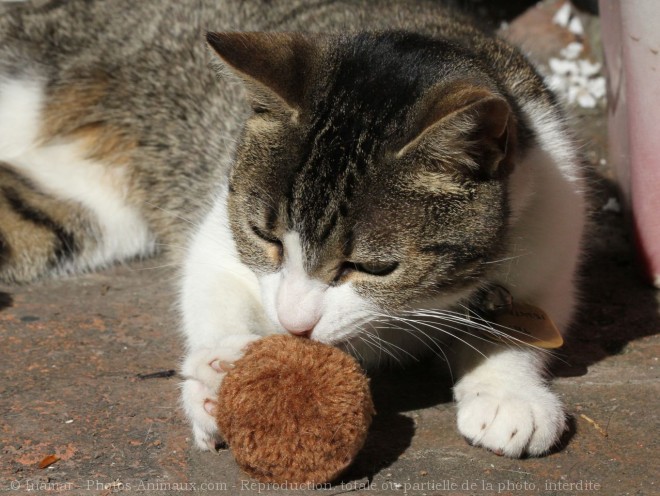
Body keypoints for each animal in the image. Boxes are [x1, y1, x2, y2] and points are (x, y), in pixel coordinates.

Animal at [1, 0, 588, 460]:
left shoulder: (554, 233)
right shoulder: (219, 236)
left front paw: (508, 392)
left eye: (373, 267)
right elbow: (212, 287)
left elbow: (525, 319)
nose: (296, 324)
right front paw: (216, 375)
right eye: (265, 237)